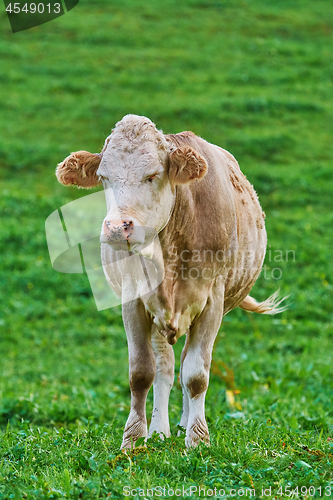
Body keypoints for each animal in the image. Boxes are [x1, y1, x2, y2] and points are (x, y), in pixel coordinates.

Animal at [55, 114, 284, 450]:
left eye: (153, 175)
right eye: (103, 177)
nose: (117, 228)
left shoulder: (212, 301)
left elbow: (196, 375)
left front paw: (198, 439)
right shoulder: (133, 299)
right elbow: (141, 372)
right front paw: (134, 439)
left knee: (189, 362)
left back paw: (185, 422)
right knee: (165, 367)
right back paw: (160, 429)